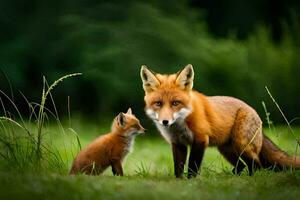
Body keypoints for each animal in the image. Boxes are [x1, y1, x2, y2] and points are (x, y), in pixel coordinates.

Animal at [141, 64, 300, 178]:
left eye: (175, 103)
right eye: (158, 104)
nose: (165, 121)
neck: (180, 125)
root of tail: (253, 110)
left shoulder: (200, 139)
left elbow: (193, 165)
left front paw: (191, 181)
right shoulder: (178, 143)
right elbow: (178, 167)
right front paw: (179, 181)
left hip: (242, 145)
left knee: (256, 165)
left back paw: (251, 179)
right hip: (226, 149)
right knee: (242, 165)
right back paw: (235, 176)